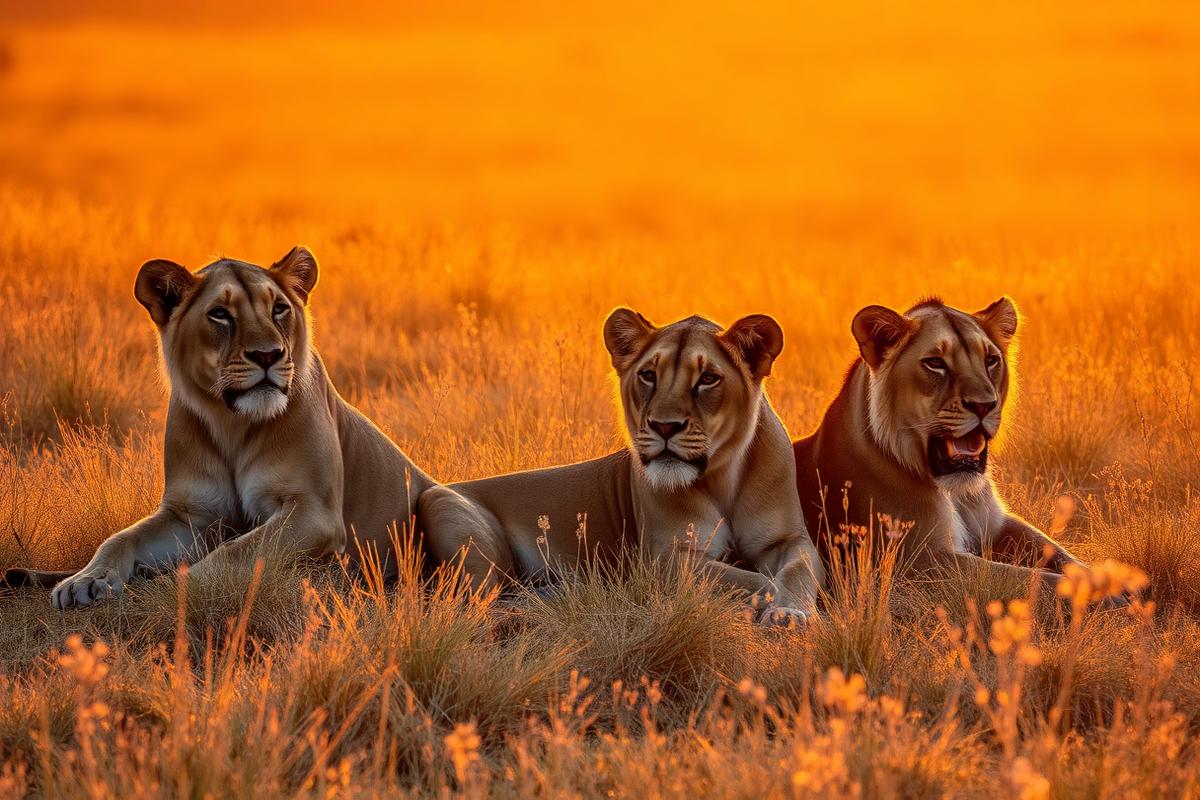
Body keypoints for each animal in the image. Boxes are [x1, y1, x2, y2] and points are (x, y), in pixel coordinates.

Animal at [9, 247, 437, 609]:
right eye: (220, 314)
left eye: (279, 309)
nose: (268, 354)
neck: (232, 423)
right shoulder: (190, 515)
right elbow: (121, 537)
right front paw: (86, 579)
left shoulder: (314, 511)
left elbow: (240, 549)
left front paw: (172, 584)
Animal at [416, 309, 824, 622]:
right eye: (649, 375)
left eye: (708, 379)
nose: (664, 426)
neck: (723, 477)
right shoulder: (663, 558)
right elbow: (752, 581)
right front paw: (770, 602)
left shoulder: (788, 539)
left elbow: (797, 572)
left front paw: (791, 612)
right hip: (446, 511)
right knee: (480, 605)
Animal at [793, 296, 1085, 589]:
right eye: (935, 363)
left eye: (991, 360)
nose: (984, 405)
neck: (955, 493)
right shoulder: (918, 559)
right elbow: (1031, 579)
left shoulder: (999, 525)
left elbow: (1061, 556)